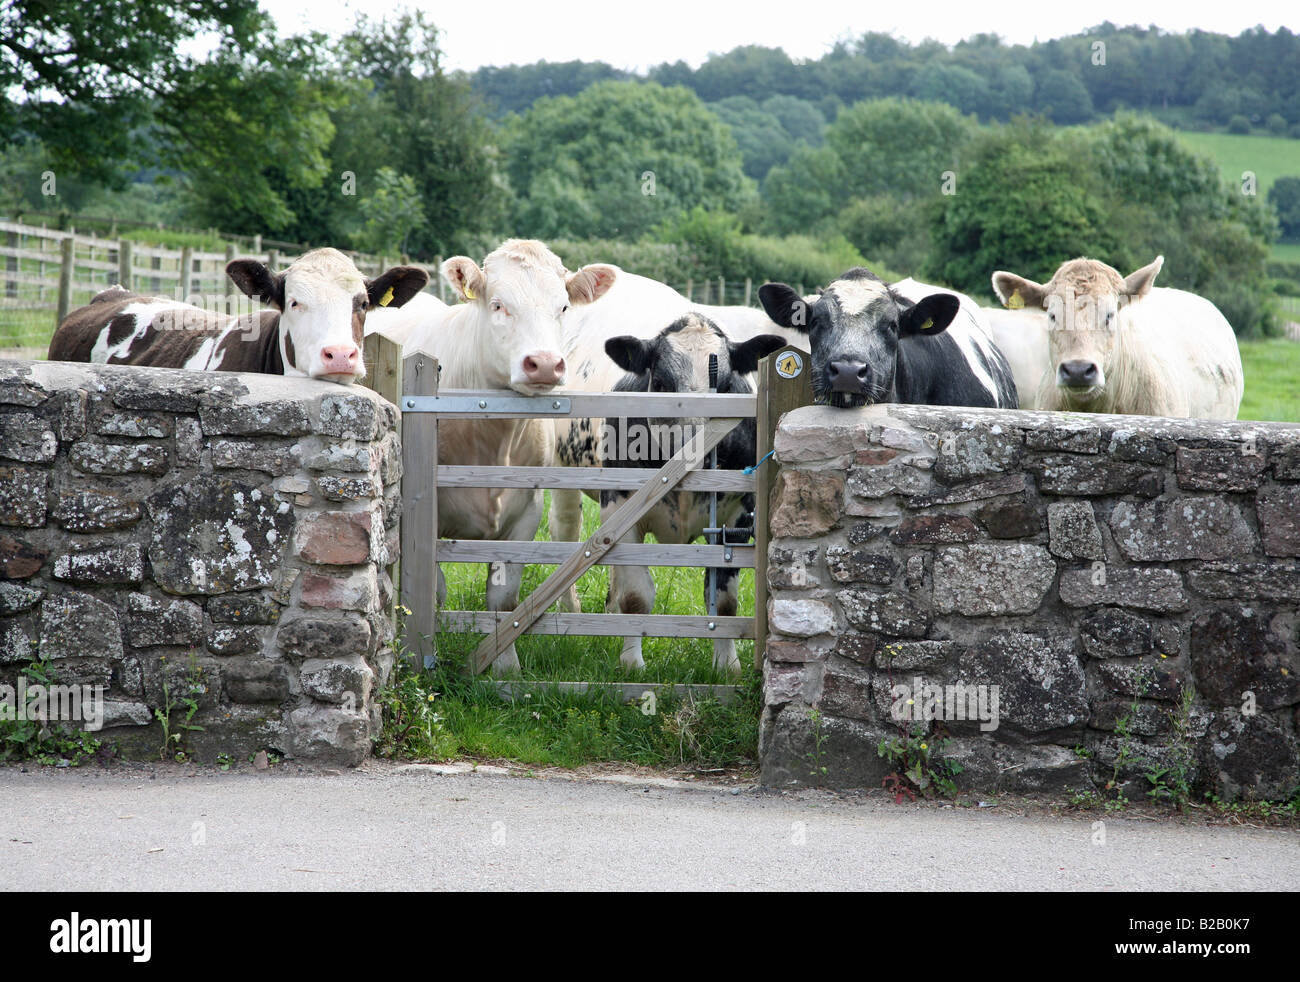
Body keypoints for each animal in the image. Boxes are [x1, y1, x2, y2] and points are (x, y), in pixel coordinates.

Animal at [361, 238, 613, 676]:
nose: (545, 364)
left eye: (564, 307)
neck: (495, 440)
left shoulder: (525, 513)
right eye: (498, 304)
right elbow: (436, 594)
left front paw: (505, 668)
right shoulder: (424, 515)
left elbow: (503, 598)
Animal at [595, 314, 780, 676]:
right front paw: (631, 662)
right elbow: (636, 595)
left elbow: (724, 601)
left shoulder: (737, 517)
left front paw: (726, 665)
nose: (694, 450)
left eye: (726, 385)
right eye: (661, 382)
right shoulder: (618, 507)